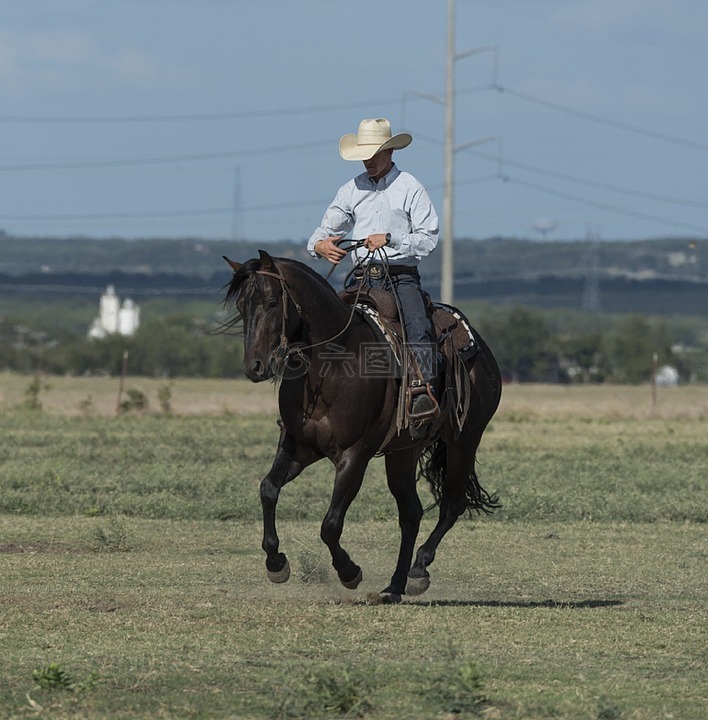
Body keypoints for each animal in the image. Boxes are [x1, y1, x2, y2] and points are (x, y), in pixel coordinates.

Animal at [224, 252, 500, 600]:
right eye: (241, 307)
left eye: (273, 302)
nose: (255, 367)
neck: (330, 366)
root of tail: (483, 351)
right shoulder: (299, 446)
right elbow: (268, 489)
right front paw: (276, 563)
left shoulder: (354, 455)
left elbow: (330, 524)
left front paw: (349, 572)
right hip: (404, 452)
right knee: (411, 513)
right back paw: (394, 586)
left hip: (464, 441)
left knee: (452, 505)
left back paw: (418, 570)